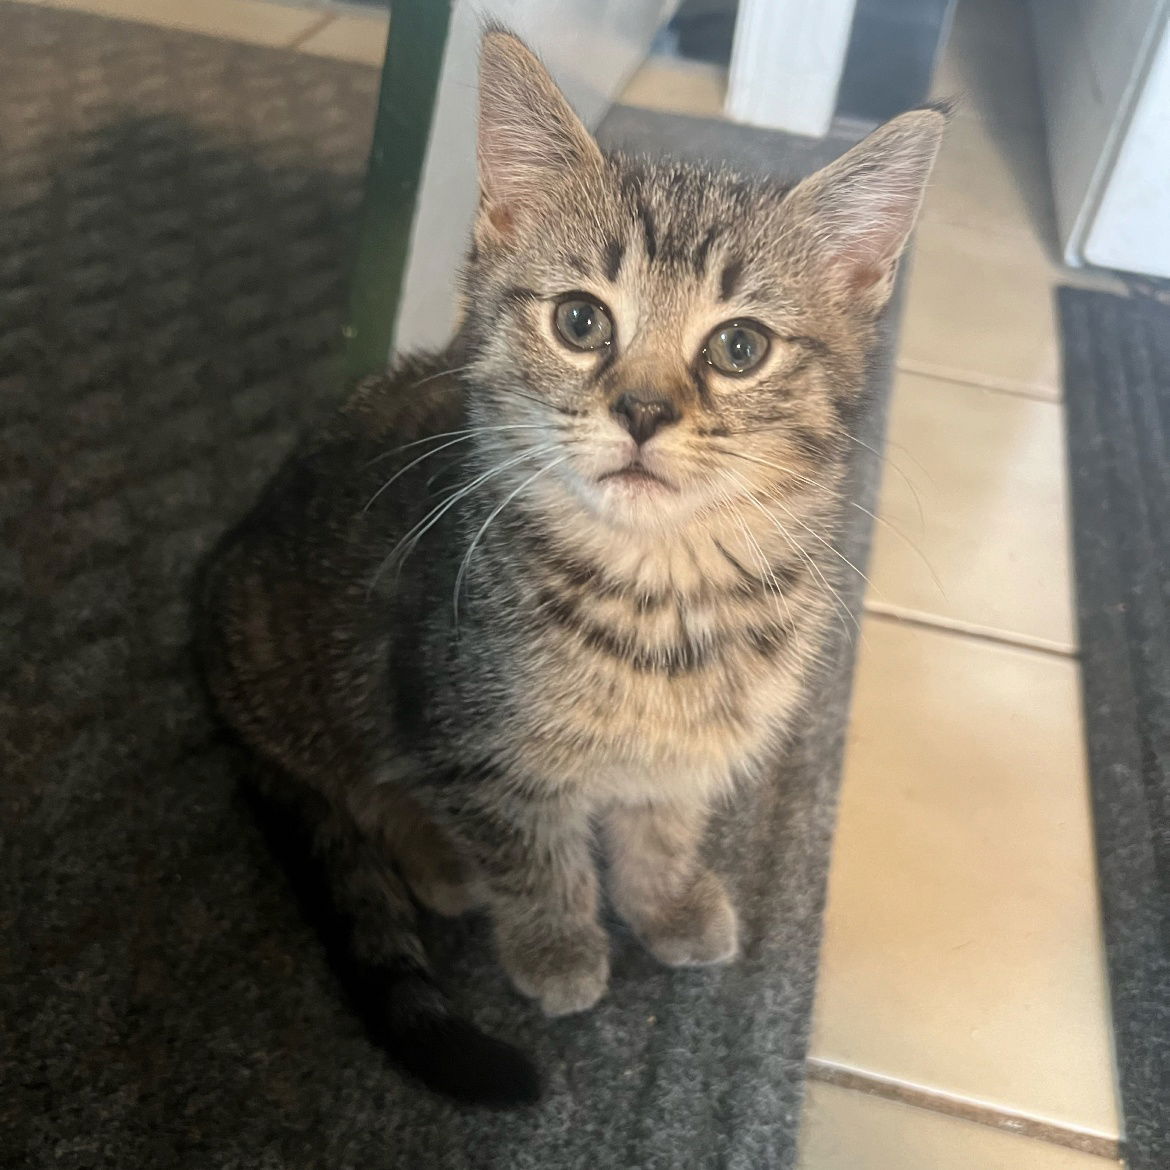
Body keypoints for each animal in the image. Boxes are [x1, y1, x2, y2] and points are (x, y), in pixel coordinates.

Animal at [196, 27, 945, 1104]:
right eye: (582, 322)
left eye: (741, 346)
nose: (642, 410)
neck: (663, 595)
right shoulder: (465, 732)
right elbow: (529, 852)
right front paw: (556, 945)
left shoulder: (694, 748)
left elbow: (664, 822)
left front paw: (665, 899)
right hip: (304, 673)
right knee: (349, 782)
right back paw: (432, 857)